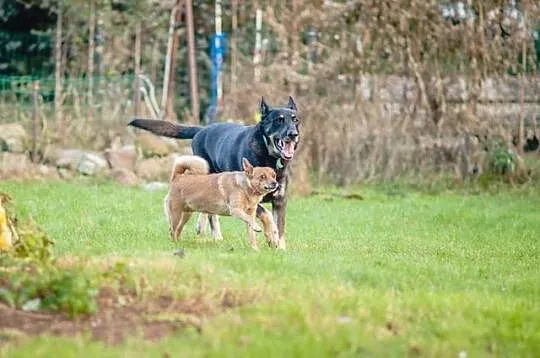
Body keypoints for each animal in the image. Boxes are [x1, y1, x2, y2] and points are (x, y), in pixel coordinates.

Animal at [129, 96, 302, 250]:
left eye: (295, 120)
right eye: (279, 120)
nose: (294, 134)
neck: (269, 155)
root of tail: (202, 129)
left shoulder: (280, 200)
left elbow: (280, 224)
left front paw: (280, 247)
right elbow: (267, 216)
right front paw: (271, 236)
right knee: (210, 214)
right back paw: (213, 234)